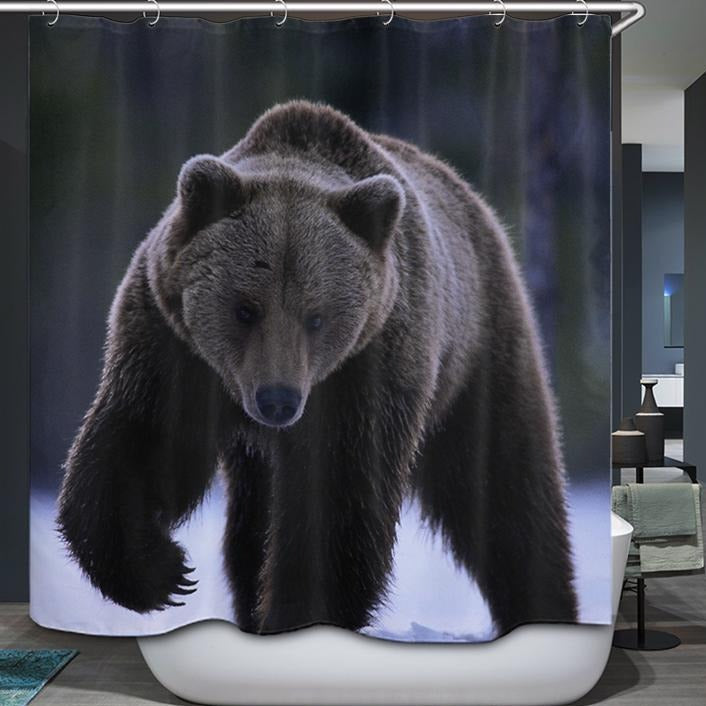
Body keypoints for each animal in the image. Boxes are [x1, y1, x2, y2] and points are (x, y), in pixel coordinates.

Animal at [57, 100, 578, 636]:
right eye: (246, 308)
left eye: (316, 316)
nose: (278, 400)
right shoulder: (173, 346)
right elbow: (145, 445)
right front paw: (160, 571)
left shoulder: (365, 370)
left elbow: (336, 502)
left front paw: (294, 616)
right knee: (249, 531)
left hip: (477, 357)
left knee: (506, 493)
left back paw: (545, 608)